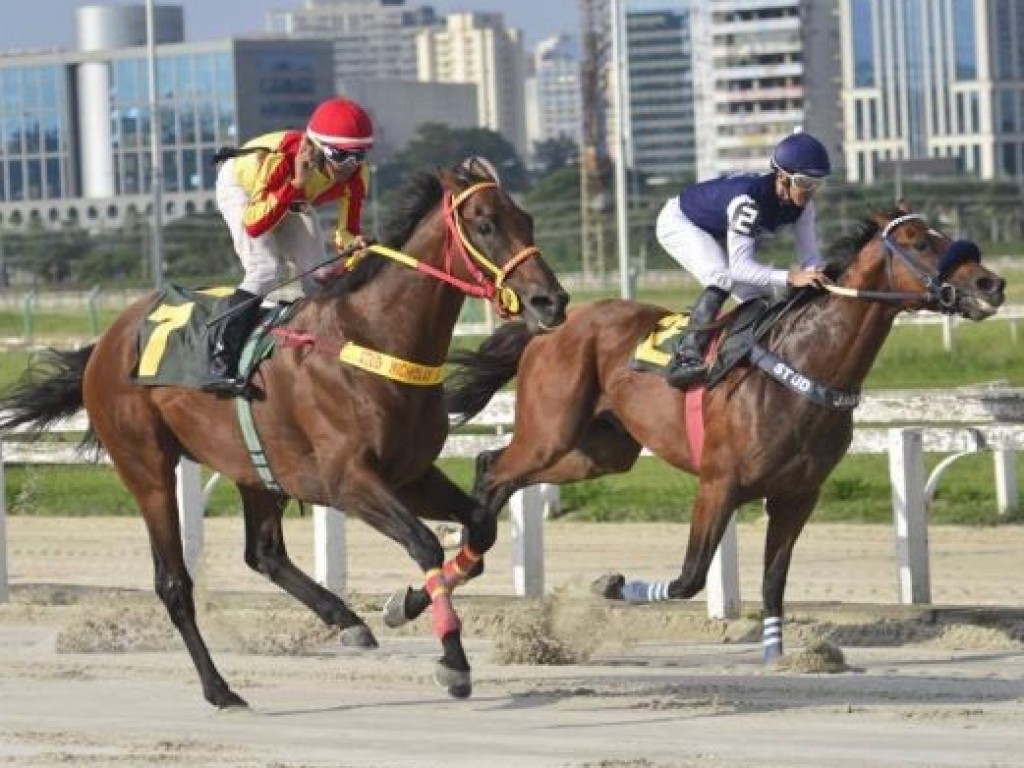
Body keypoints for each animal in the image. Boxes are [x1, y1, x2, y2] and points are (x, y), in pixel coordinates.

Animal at [0, 159, 569, 708]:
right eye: (485, 224)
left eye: (527, 220)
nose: (552, 301)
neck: (372, 337)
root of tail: (106, 342)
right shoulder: (348, 481)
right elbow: (425, 544)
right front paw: (451, 658)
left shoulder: (411, 474)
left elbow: (480, 529)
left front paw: (401, 605)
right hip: (147, 469)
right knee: (174, 582)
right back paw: (220, 689)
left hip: (254, 467)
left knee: (264, 553)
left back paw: (346, 621)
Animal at [387, 204, 1003, 663]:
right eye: (920, 241)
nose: (992, 282)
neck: (807, 362)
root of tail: (549, 326)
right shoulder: (718, 482)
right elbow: (689, 578)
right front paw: (609, 586)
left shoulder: (798, 495)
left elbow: (773, 582)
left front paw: (781, 658)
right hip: (550, 432)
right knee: (494, 469)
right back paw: (442, 570)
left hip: (598, 452)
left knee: (495, 467)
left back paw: (431, 584)